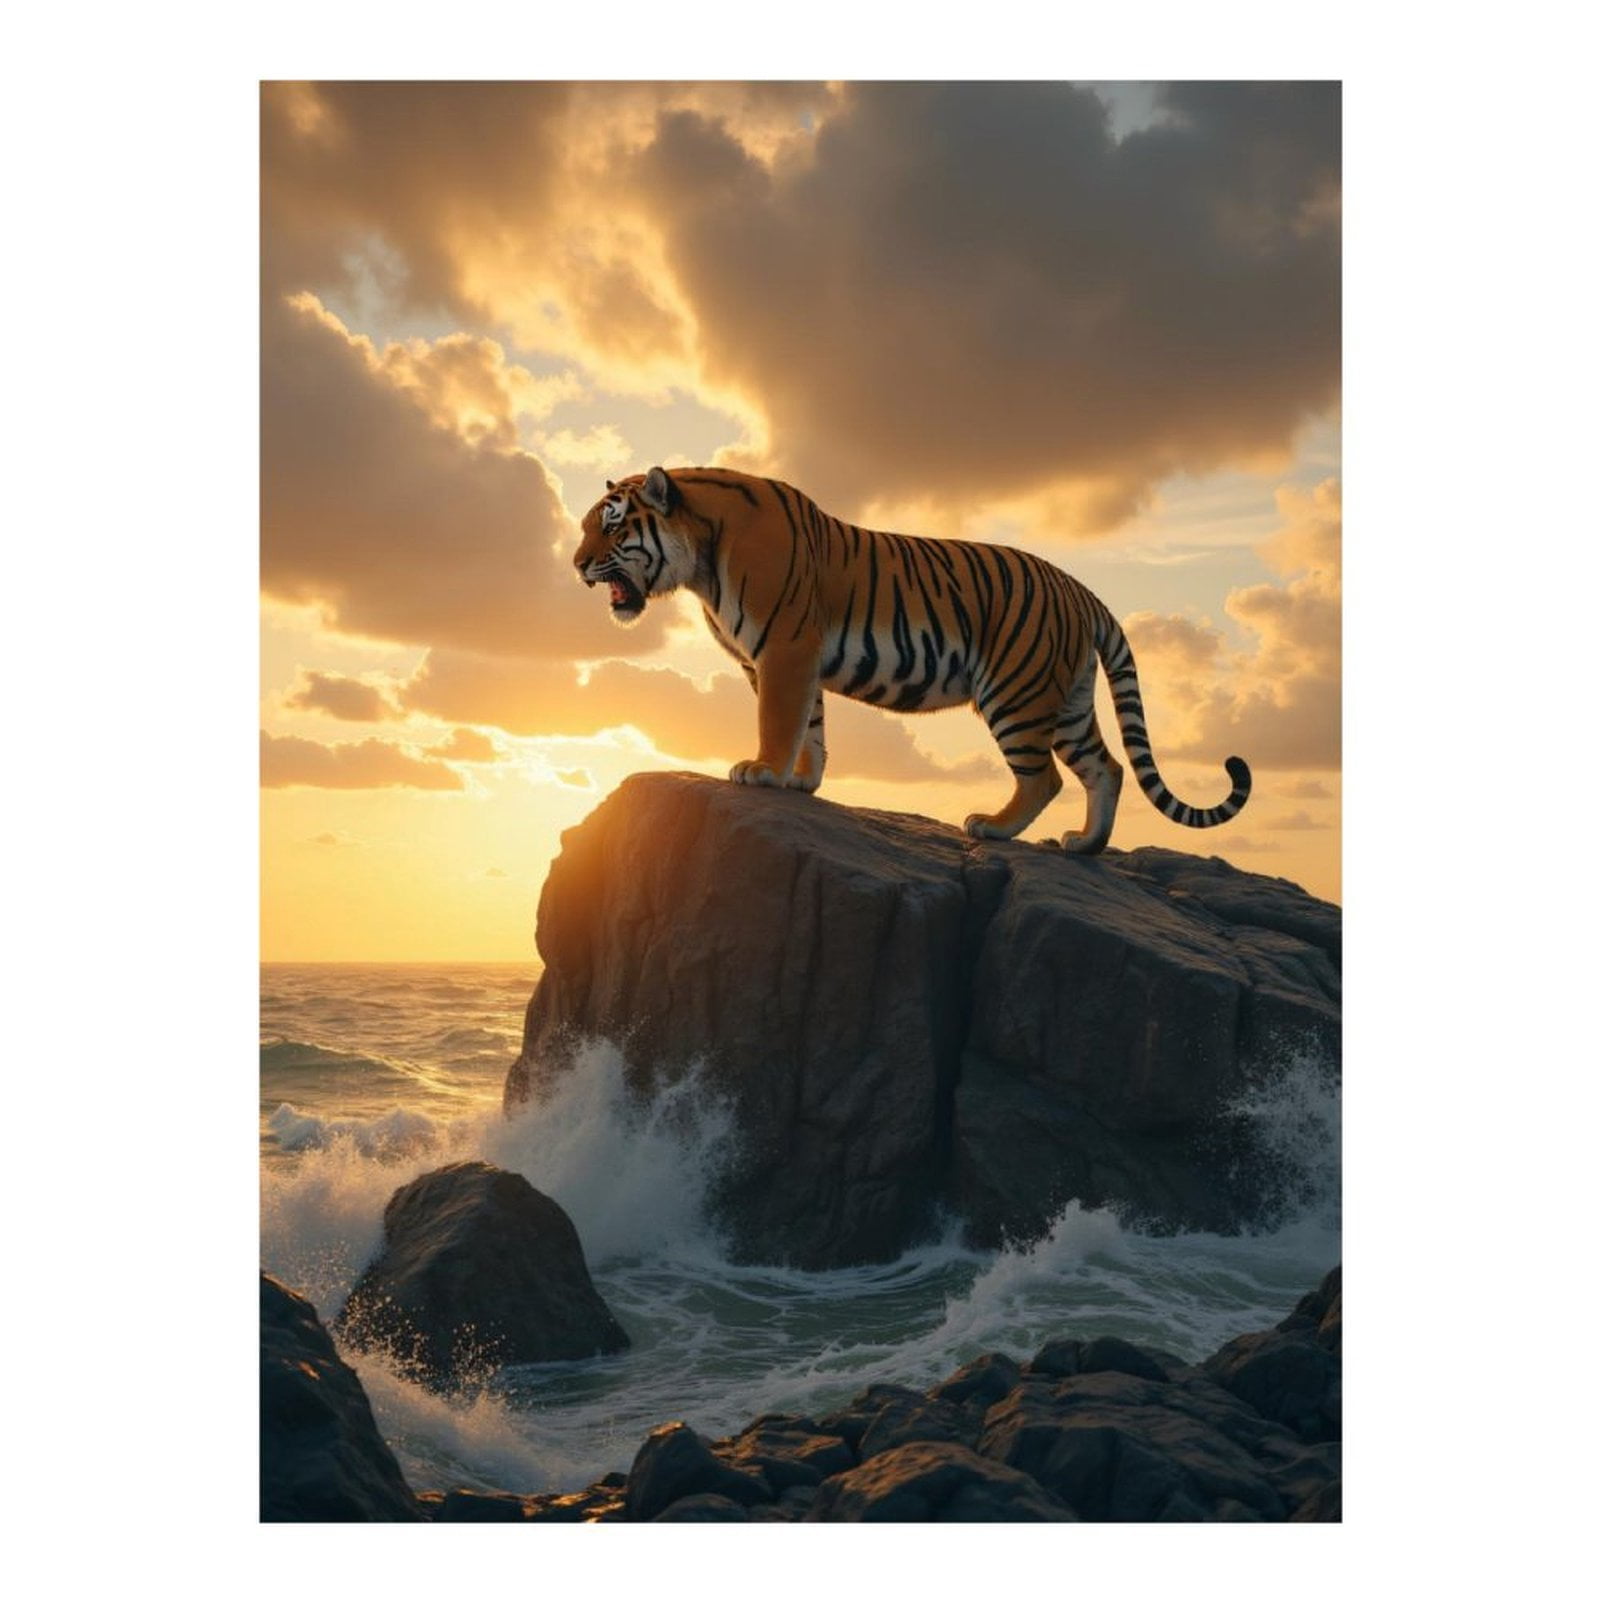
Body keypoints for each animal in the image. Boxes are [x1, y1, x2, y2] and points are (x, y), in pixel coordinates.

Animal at [572, 465, 1251, 854]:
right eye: (586, 528)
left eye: (612, 529)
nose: (576, 565)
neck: (701, 561)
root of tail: (1084, 591)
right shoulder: (789, 658)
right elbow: (810, 726)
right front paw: (799, 781)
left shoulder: (784, 649)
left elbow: (779, 721)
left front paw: (760, 771)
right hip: (1067, 702)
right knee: (1105, 768)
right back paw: (1085, 844)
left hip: (1017, 692)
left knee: (1045, 778)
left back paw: (992, 827)